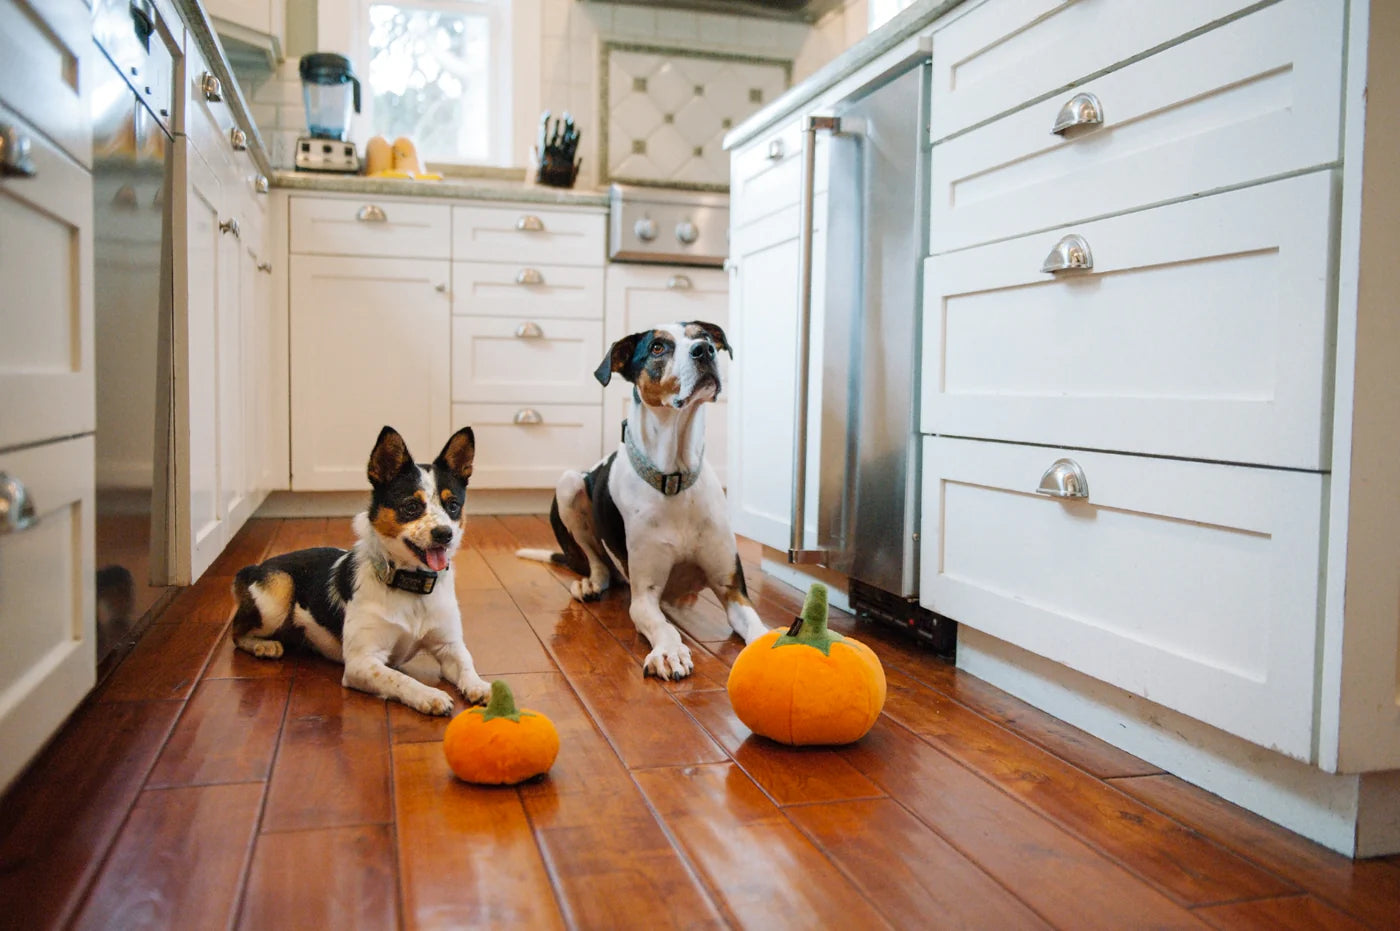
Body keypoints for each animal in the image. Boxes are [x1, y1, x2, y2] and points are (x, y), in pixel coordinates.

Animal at [226, 425, 490, 711]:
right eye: (410, 506)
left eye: (453, 506)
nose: (445, 534)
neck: (412, 588)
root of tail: (255, 567)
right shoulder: (362, 662)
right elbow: (400, 678)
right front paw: (429, 695)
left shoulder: (449, 646)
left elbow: (467, 663)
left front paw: (481, 686)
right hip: (278, 593)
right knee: (236, 633)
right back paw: (263, 646)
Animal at [520, 323, 772, 680]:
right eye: (657, 348)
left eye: (703, 336)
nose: (704, 351)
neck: (675, 478)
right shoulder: (644, 597)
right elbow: (663, 626)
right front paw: (669, 651)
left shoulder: (732, 588)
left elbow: (757, 626)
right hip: (568, 485)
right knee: (598, 562)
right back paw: (590, 584)